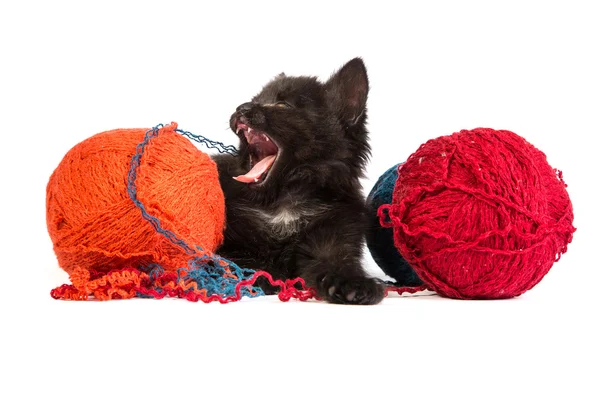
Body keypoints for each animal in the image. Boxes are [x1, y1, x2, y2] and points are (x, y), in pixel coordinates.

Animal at [213, 57, 386, 304]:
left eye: (283, 105)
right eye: (256, 100)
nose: (242, 108)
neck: (284, 201)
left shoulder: (335, 235)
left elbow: (339, 264)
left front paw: (353, 284)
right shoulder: (228, 240)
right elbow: (236, 258)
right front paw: (262, 275)